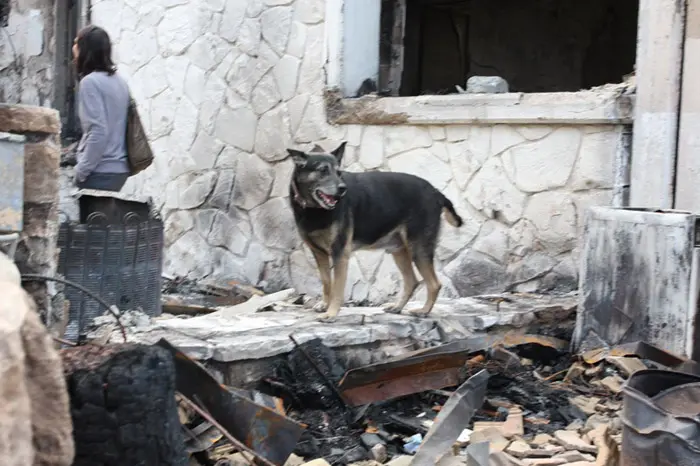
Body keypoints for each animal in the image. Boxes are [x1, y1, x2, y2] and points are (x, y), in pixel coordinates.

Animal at [288, 142, 462, 322]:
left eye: (339, 172)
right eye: (323, 170)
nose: (343, 189)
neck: (314, 209)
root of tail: (436, 192)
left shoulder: (340, 253)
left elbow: (337, 287)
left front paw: (331, 313)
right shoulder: (319, 253)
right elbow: (326, 281)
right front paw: (324, 305)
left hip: (418, 249)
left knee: (434, 284)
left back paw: (424, 311)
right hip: (399, 250)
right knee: (412, 281)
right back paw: (397, 307)